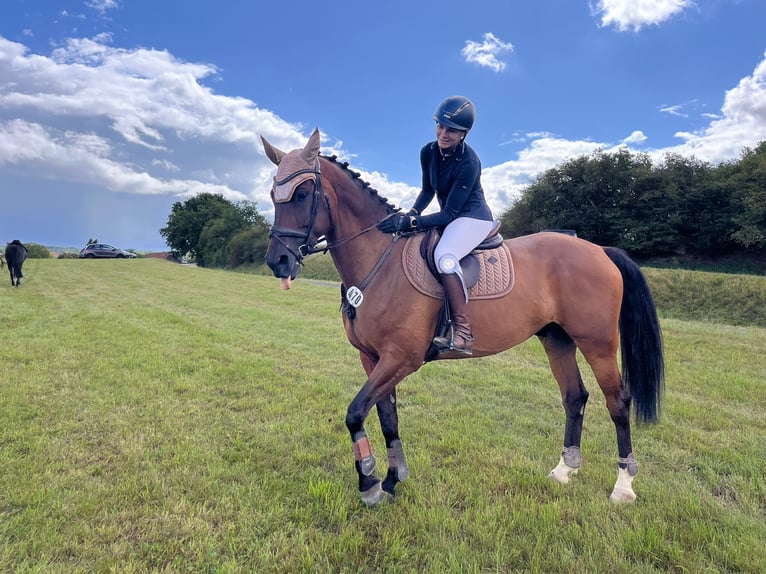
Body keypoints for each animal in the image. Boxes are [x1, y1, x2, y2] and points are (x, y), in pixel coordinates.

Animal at [261, 128, 664, 506]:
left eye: (302, 194)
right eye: (272, 195)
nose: (277, 261)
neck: (379, 259)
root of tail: (600, 250)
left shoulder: (400, 358)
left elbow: (356, 413)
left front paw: (370, 484)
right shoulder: (372, 358)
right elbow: (387, 417)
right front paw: (391, 481)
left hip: (597, 343)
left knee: (618, 402)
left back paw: (623, 486)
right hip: (557, 339)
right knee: (574, 396)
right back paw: (565, 470)